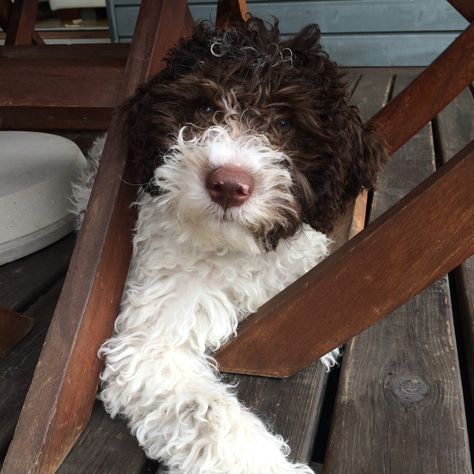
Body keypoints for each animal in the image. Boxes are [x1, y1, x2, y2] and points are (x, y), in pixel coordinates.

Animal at [76, 17, 386, 474]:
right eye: (205, 109)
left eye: (284, 124)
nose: (228, 185)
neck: (236, 249)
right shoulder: (153, 340)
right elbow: (208, 414)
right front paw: (269, 464)